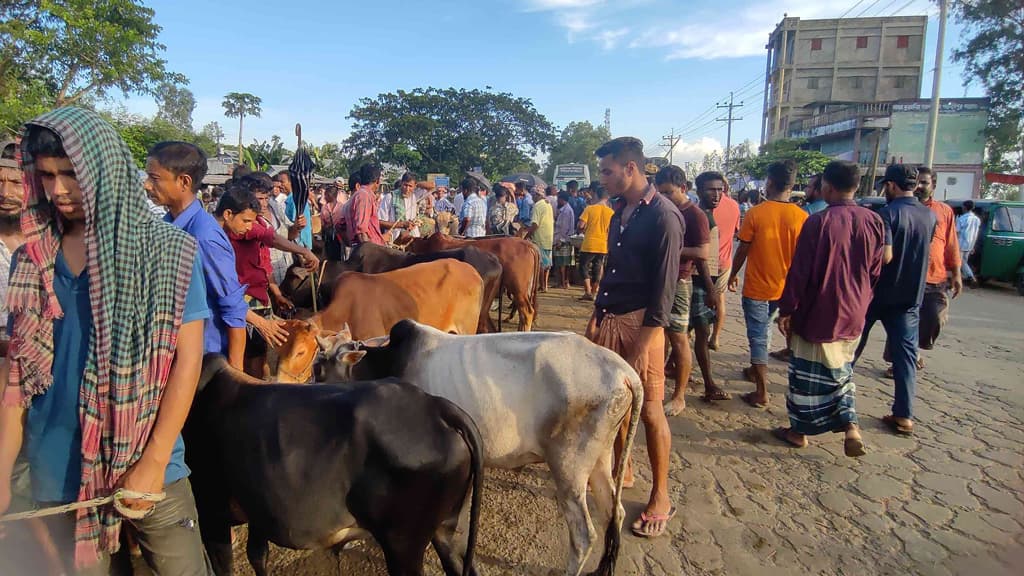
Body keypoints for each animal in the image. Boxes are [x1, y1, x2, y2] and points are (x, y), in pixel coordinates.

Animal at [184, 352, 483, 573]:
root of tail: (437, 406)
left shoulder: (211, 514)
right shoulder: (259, 512)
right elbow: (258, 556)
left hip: (403, 543)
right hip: (446, 528)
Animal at [315, 315, 643, 573]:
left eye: (319, 368)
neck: (387, 362)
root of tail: (623, 372)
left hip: (568, 466)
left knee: (584, 535)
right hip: (600, 458)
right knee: (614, 512)